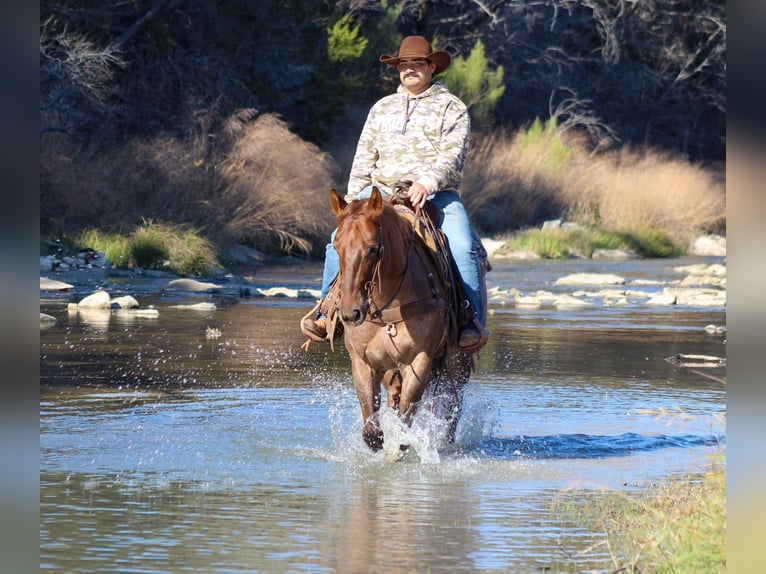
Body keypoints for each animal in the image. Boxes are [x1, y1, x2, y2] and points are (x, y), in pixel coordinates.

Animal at [327, 186, 476, 452]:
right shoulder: (363, 362)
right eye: (336, 247)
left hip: (458, 365)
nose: (350, 313)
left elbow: (406, 420)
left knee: (452, 411)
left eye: (372, 248)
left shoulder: (419, 362)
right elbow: (372, 430)